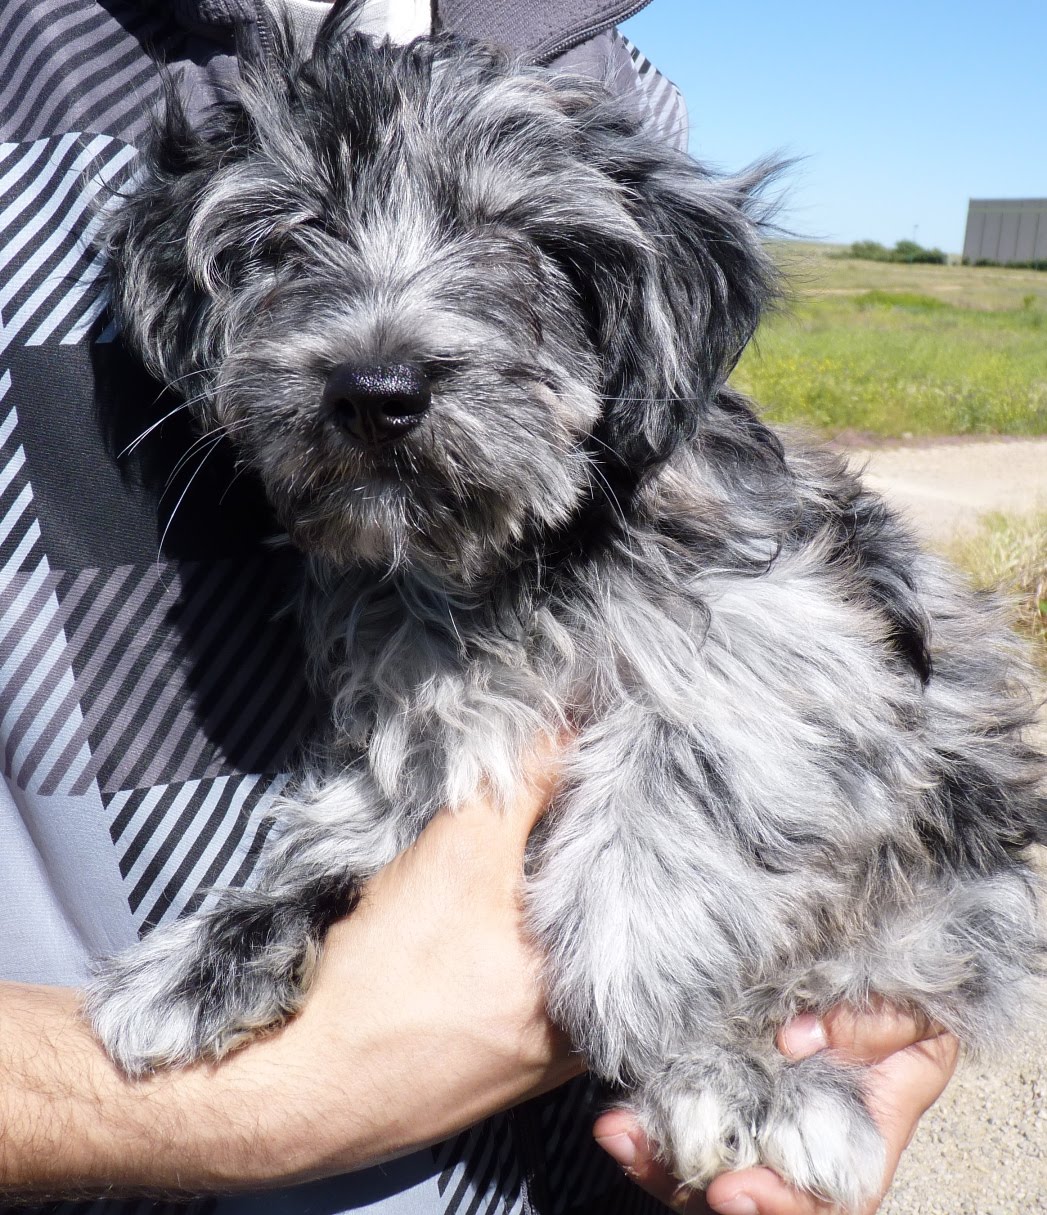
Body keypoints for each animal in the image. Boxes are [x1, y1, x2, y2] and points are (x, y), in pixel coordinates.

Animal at [86, 4, 1047, 1208]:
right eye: (288, 236)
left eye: (523, 240)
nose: (376, 392)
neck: (512, 560)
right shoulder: (436, 717)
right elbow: (351, 822)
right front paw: (216, 948)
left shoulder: (796, 653)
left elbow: (666, 800)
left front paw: (664, 1015)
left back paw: (750, 1078)